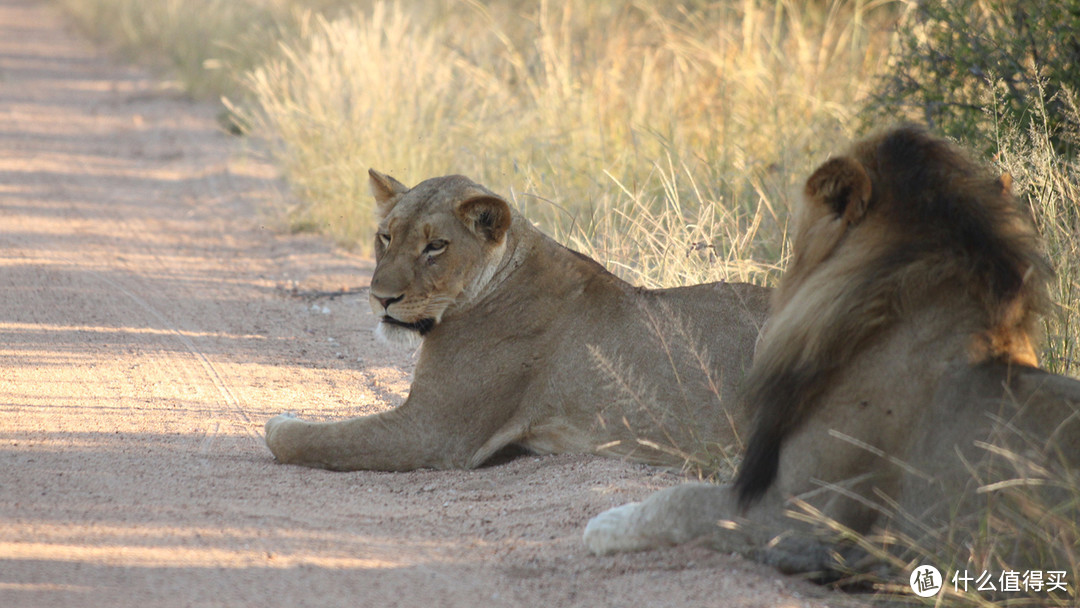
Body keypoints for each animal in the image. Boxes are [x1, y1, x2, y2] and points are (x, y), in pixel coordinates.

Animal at [261, 170, 768, 470]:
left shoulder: (432, 431)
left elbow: (318, 440)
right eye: (385, 237)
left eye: (435, 246)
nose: (381, 298)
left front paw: (280, 422)